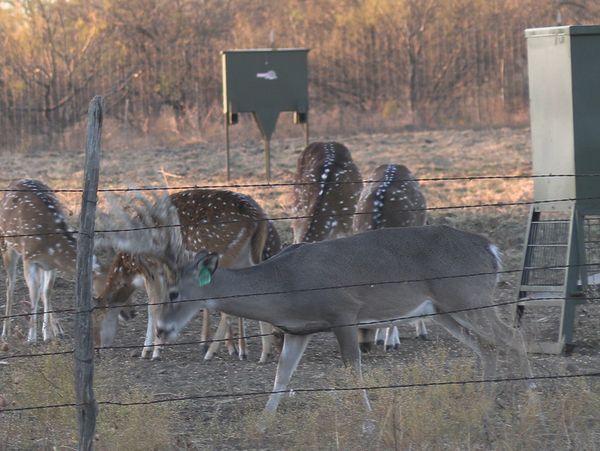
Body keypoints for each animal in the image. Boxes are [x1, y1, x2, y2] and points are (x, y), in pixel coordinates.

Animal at [95, 188, 278, 364]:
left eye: (96, 318)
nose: (97, 350)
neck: (131, 266)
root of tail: (259, 217)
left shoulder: (153, 269)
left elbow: (153, 306)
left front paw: (150, 351)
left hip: (225, 257)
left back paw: (217, 352)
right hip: (245, 259)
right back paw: (259, 351)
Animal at [157, 226, 532, 420]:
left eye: (174, 292)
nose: (161, 329)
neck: (283, 285)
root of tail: (491, 249)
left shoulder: (344, 313)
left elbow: (354, 371)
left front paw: (368, 423)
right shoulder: (299, 330)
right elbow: (282, 376)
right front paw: (263, 423)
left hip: (468, 295)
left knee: (513, 336)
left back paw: (530, 401)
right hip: (444, 309)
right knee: (487, 347)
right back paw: (484, 403)